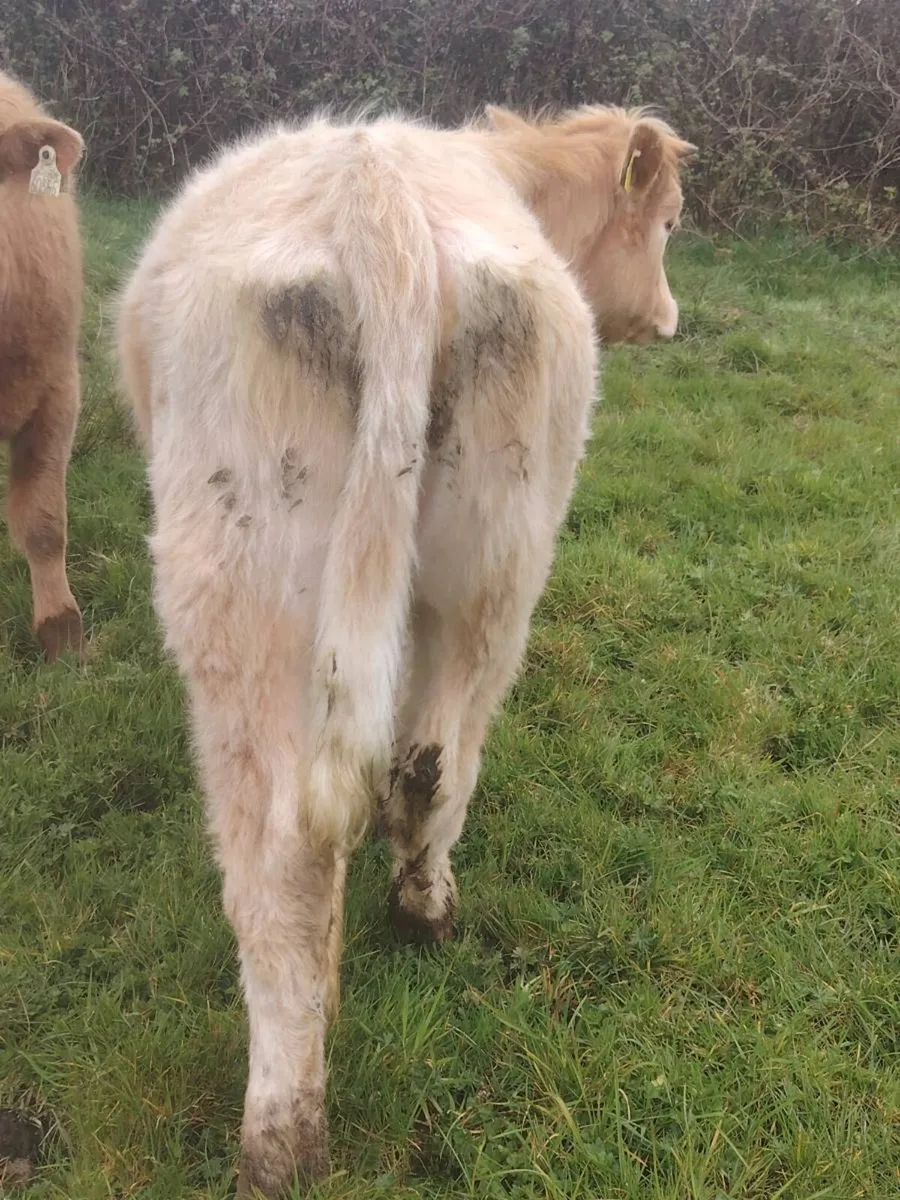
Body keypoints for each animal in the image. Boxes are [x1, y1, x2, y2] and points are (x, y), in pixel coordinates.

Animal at [116, 104, 694, 1196]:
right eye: (672, 222)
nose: (672, 316)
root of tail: (377, 199)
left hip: (248, 601)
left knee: (284, 858)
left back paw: (281, 1133)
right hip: (500, 566)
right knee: (431, 763)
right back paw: (422, 912)